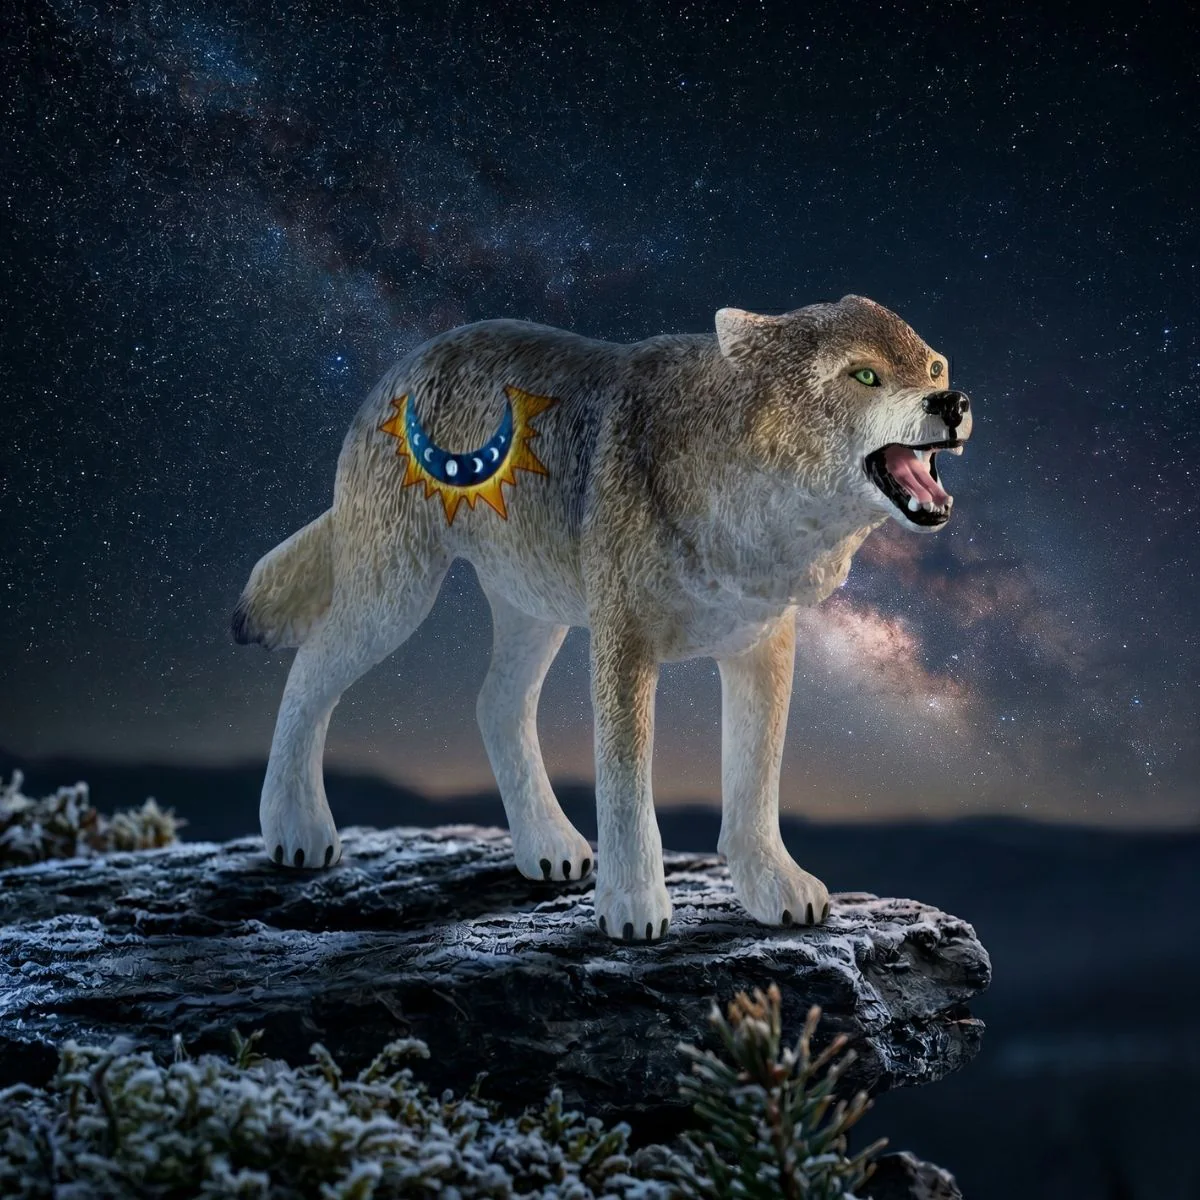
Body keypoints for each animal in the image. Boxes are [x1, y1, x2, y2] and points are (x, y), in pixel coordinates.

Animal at [233, 294, 972, 942]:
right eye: (865, 375)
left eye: (934, 368)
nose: (954, 403)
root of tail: (407, 361)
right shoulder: (625, 641)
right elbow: (625, 786)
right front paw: (634, 907)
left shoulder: (761, 645)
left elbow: (756, 782)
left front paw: (772, 886)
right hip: (395, 596)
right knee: (309, 672)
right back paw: (296, 830)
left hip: (533, 611)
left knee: (495, 704)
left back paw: (547, 845)